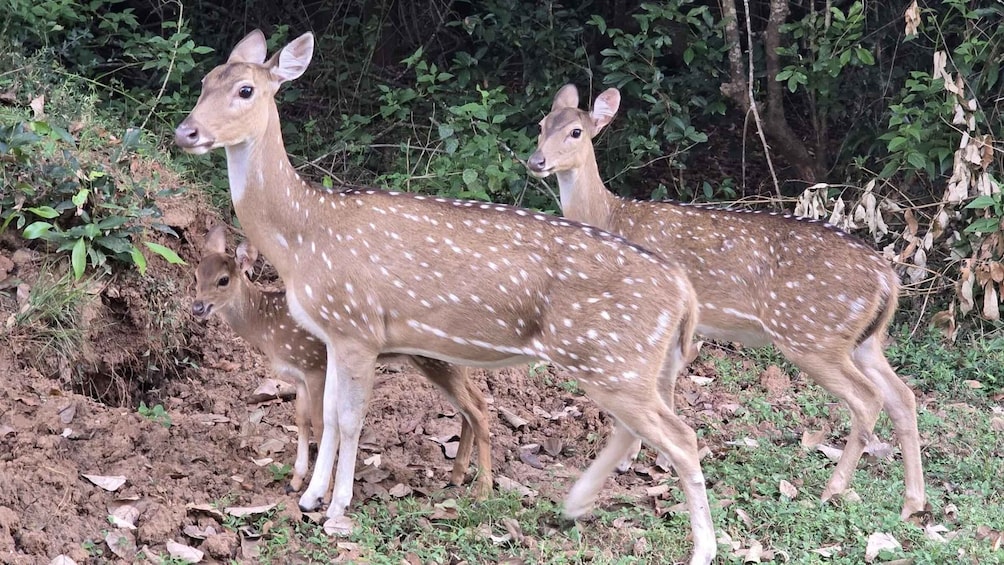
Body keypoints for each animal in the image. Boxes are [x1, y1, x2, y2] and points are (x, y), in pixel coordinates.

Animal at [191, 225, 494, 498]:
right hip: (451, 365)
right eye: (196, 274)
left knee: (477, 412)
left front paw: (322, 493)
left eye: (223, 280)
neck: (268, 326)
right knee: (476, 402)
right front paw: (296, 481)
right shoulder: (299, 375)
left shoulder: (315, 365)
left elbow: (320, 422)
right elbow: (301, 420)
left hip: (437, 363)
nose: (197, 307)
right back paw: (456, 477)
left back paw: (483, 492)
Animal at [527, 84, 926, 521]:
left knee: (868, 398)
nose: (536, 161)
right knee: (903, 396)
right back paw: (912, 503)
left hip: (812, 335)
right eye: (542, 124)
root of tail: (888, 278)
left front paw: (647, 459)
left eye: (576, 132)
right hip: (863, 340)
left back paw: (833, 490)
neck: (610, 216)